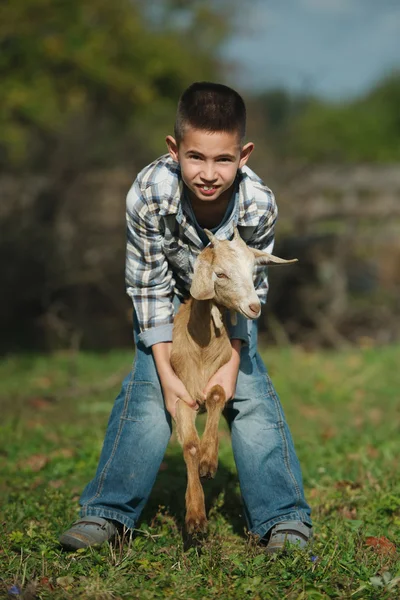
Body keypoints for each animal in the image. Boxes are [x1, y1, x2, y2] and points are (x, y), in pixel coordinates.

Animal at [170, 227, 296, 532]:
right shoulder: (181, 396)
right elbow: (189, 446)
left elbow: (216, 395)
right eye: (220, 274)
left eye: (253, 272)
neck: (201, 349)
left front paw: (208, 462)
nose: (254, 307)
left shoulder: (222, 376)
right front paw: (195, 515)